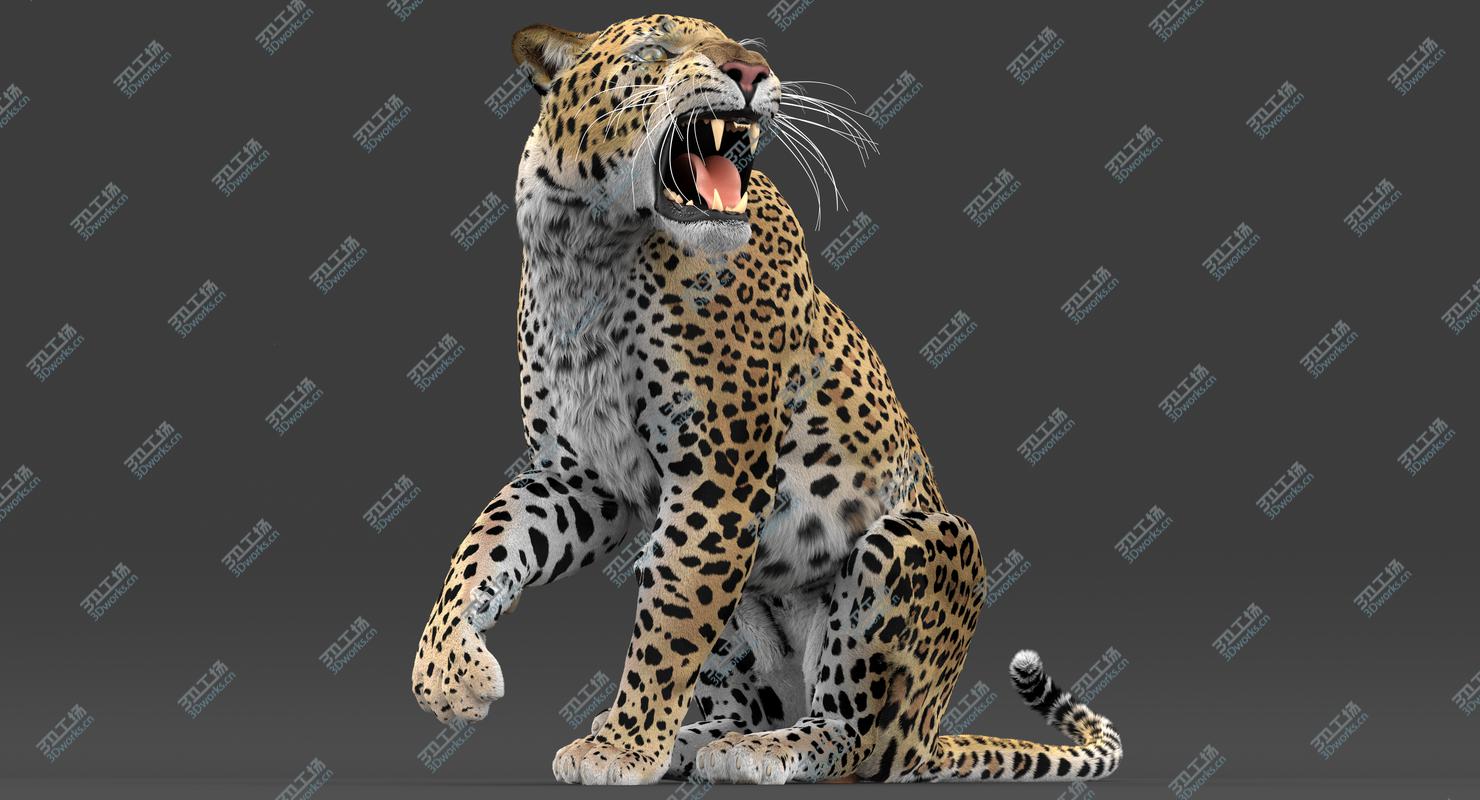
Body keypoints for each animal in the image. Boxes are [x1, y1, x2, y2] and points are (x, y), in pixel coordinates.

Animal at [410, 13, 1123, 785]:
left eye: (743, 46)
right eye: (654, 51)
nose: (751, 72)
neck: (591, 249)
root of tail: (933, 732)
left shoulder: (716, 480)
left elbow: (668, 626)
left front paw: (621, 748)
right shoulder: (582, 477)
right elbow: (489, 539)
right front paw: (448, 674)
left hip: (915, 544)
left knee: (857, 738)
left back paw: (764, 749)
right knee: (743, 700)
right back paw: (696, 742)